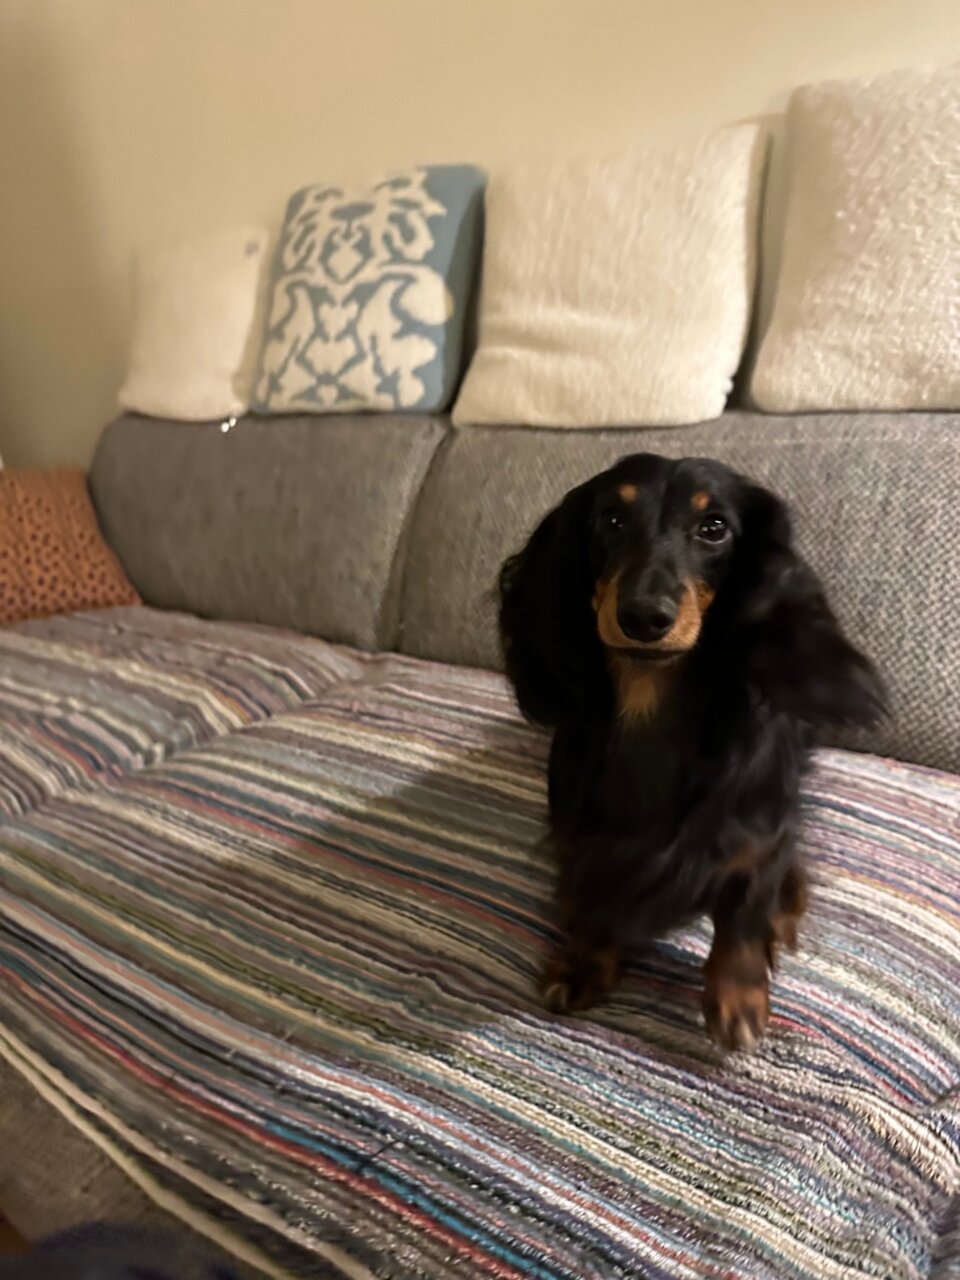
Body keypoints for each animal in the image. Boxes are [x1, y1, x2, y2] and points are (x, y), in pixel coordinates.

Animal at [504, 458, 885, 1049]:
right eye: (611, 519)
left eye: (714, 528)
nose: (643, 616)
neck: (649, 705)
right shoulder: (584, 839)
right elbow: (593, 900)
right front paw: (585, 962)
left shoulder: (757, 837)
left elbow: (744, 912)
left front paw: (738, 995)